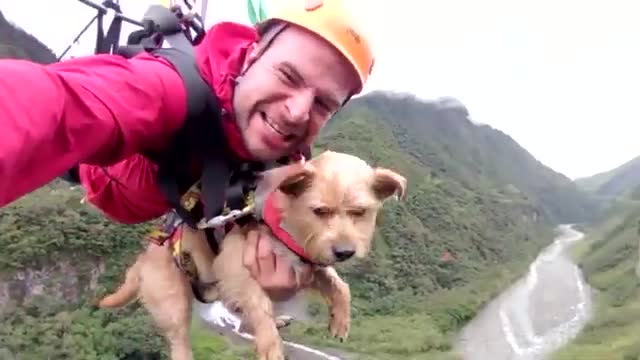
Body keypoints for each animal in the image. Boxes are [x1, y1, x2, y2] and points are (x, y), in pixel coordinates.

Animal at [96, 151, 404, 360]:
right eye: (320, 211)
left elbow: (340, 285)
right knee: (181, 340)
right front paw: (270, 343)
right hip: (174, 301)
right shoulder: (235, 264)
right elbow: (259, 304)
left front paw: (340, 319)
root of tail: (143, 261)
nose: (344, 251)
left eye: (360, 212)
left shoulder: (307, 262)